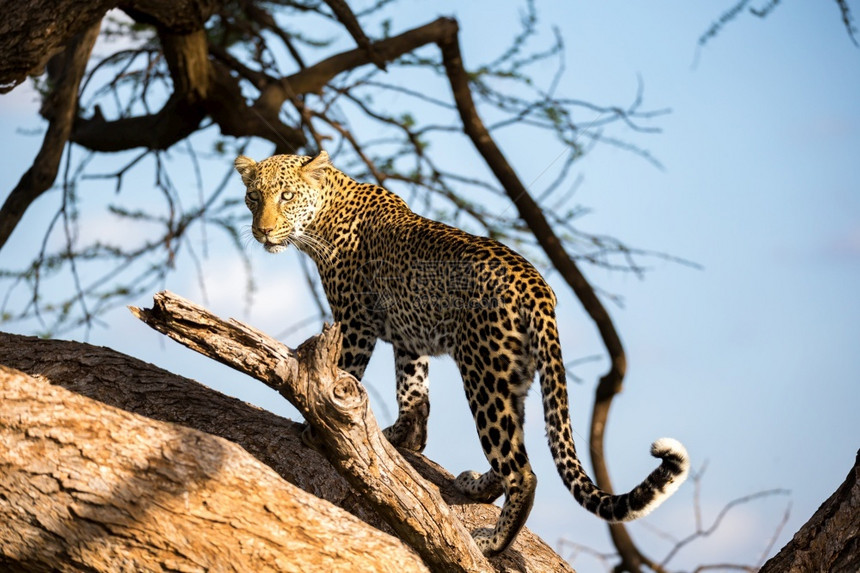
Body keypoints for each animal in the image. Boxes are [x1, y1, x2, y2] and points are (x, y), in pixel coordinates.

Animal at [237, 151, 692, 556]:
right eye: (254, 198)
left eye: (286, 197)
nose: (263, 231)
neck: (324, 216)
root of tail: (538, 287)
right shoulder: (408, 337)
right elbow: (413, 391)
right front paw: (404, 438)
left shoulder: (355, 322)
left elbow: (343, 373)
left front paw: (319, 426)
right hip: (513, 375)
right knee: (513, 448)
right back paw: (478, 485)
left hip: (484, 373)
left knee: (522, 471)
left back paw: (493, 542)